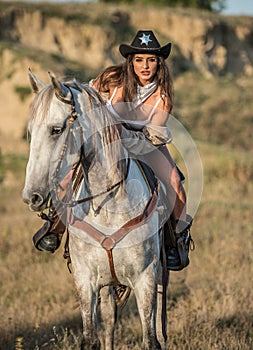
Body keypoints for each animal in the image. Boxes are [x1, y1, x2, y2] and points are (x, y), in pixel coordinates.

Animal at [22, 69, 169, 348]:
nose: (31, 196)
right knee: (109, 323)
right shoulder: (85, 280)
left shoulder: (145, 278)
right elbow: (91, 337)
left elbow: (150, 338)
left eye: (56, 129)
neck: (109, 207)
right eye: (30, 131)